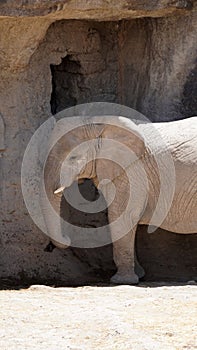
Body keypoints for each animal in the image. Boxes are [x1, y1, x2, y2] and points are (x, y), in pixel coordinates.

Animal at [40, 115, 196, 284]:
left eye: (74, 158)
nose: (67, 238)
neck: (98, 122)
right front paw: (139, 275)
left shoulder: (131, 171)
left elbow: (123, 216)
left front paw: (122, 281)